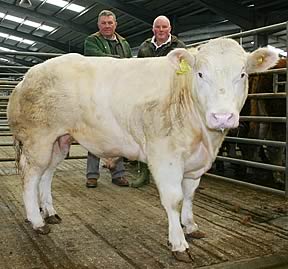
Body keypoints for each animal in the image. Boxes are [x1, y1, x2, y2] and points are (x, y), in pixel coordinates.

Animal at [6, 38, 278, 262]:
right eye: (200, 74)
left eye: (242, 74)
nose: (222, 116)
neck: (204, 137)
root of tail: (28, 75)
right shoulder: (165, 156)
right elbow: (175, 199)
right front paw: (178, 244)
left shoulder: (195, 163)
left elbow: (190, 195)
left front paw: (190, 227)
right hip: (38, 139)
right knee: (31, 177)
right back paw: (37, 221)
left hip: (59, 141)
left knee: (47, 175)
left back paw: (49, 212)